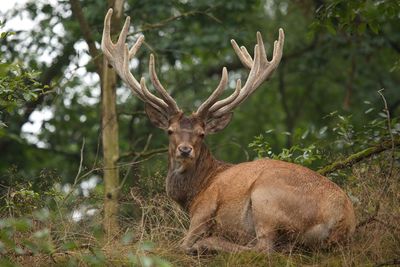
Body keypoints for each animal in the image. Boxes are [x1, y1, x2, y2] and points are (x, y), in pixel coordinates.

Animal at [101, 8, 354, 254]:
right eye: (170, 131)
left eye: (202, 134)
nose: (185, 150)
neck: (194, 192)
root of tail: (343, 220)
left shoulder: (204, 209)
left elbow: (181, 243)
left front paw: (197, 242)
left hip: (267, 197)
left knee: (263, 248)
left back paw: (208, 244)